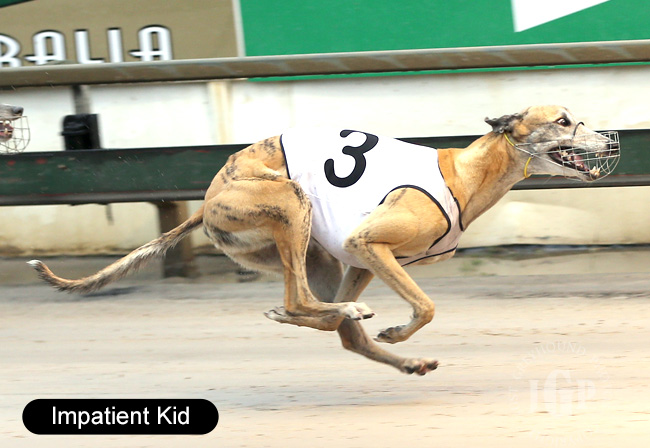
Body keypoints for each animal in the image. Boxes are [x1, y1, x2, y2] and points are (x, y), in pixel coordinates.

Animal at [30, 105, 620, 375]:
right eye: (564, 121)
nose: (612, 140)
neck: (466, 174)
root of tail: (208, 197)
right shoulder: (369, 243)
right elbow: (427, 307)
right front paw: (398, 330)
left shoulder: (359, 257)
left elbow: (387, 317)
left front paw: (396, 341)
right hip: (292, 204)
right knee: (300, 302)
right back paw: (334, 315)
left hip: (314, 252)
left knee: (332, 323)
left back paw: (390, 351)